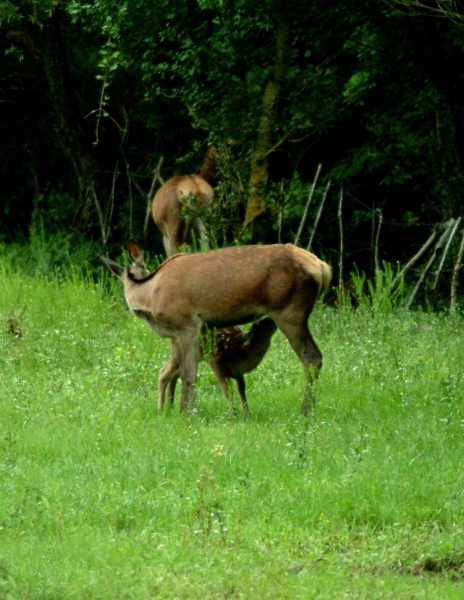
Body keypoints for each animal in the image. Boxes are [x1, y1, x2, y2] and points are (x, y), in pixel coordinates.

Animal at [103, 239, 332, 412]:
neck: (151, 295)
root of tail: (323, 268)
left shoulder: (187, 324)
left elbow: (189, 374)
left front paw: (187, 413)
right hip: (298, 314)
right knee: (318, 356)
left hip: (289, 310)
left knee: (311, 357)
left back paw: (306, 409)